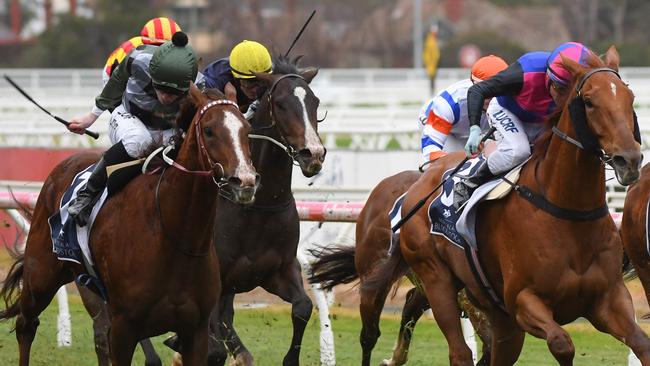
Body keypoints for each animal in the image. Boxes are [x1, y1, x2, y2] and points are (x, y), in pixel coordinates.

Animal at [0, 86, 258, 366]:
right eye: (209, 130)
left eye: (246, 128)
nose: (245, 181)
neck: (176, 235)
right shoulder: (124, 327)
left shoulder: (195, 331)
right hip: (40, 276)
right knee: (26, 325)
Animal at [202, 55, 324, 366]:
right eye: (280, 103)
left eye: (315, 101)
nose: (314, 154)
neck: (259, 205)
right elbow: (214, 336)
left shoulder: (279, 270)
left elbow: (303, 306)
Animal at [364, 46, 648, 366]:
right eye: (588, 101)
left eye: (629, 97)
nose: (629, 159)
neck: (569, 211)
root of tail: (418, 187)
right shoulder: (523, 301)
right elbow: (562, 344)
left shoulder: (609, 300)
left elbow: (642, 343)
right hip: (436, 278)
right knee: (459, 351)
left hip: (499, 316)